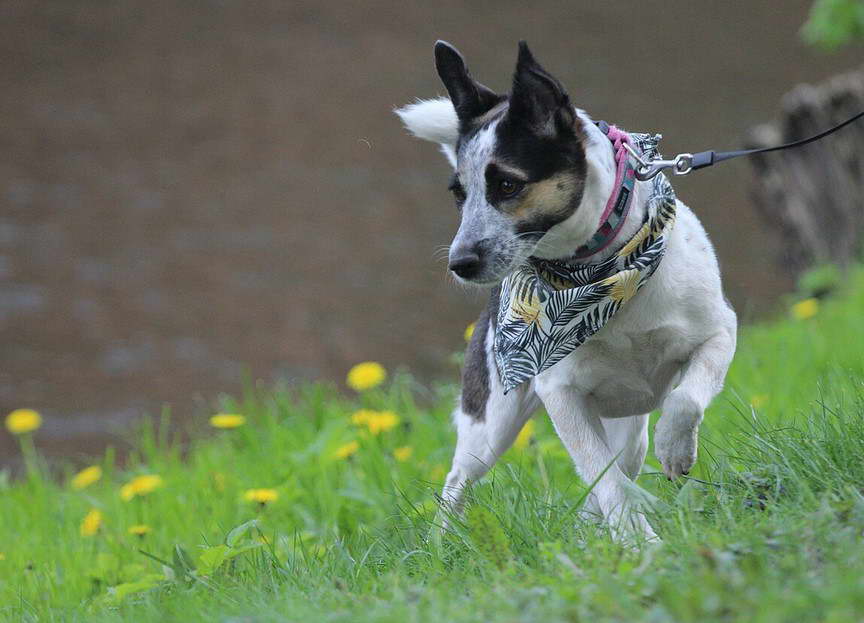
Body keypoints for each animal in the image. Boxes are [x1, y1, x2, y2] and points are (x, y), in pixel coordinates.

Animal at [394, 40, 732, 540]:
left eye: (508, 184)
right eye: (459, 193)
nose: (460, 263)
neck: (601, 276)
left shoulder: (719, 333)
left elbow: (685, 398)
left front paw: (675, 449)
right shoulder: (561, 394)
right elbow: (602, 477)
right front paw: (639, 544)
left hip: (629, 431)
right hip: (490, 422)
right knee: (458, 480)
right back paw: (442, 542)